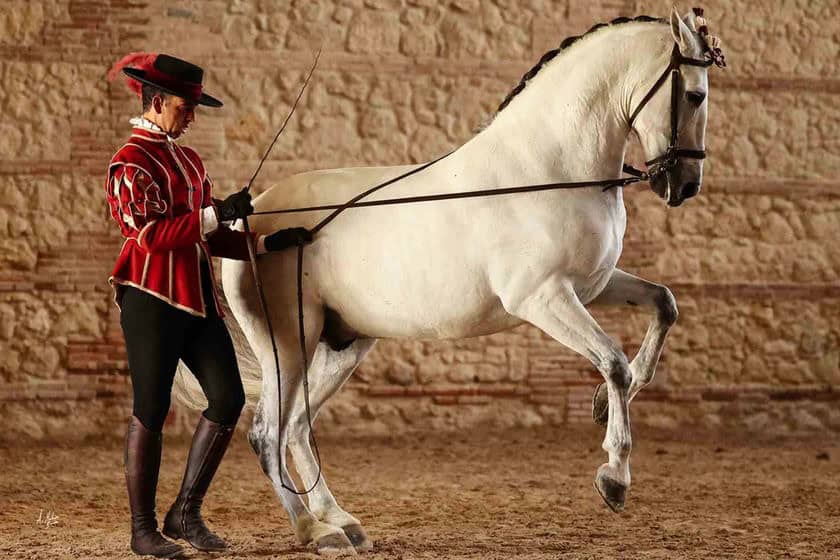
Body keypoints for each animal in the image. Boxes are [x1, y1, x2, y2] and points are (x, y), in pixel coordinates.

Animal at [173, 7, 716, 554]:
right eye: (695, 95)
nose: (684, 185)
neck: (549, 170)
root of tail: (246, 220)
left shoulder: (592, 287)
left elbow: (663, 305)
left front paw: (603, 406)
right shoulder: (542, 298)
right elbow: (613, 361)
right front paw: (614, 477)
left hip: (341, 345)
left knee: (298, 429)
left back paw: (342, 521)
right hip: (288, 344)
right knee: (267, 433)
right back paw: (316, 531)